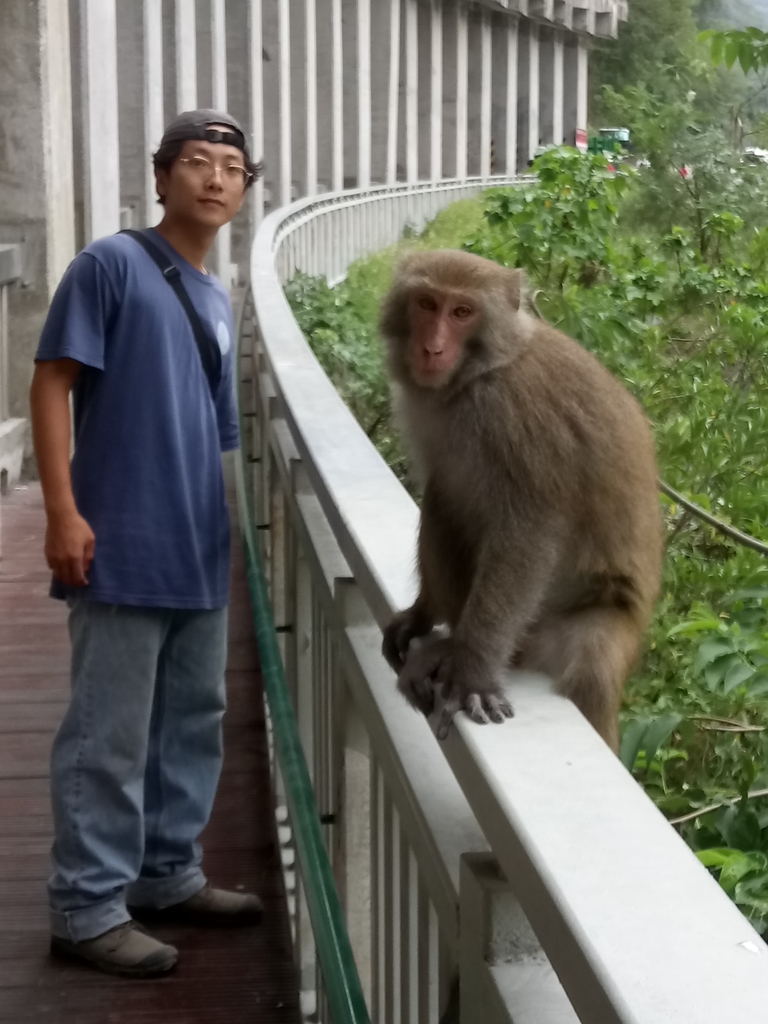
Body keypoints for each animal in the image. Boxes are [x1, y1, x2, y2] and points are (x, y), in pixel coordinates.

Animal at [378, 249, 663, 753]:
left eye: (462, 312)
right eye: (427, 303)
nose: (432, 349)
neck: (479, 375)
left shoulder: (515, 417)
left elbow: (528, 533)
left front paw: (471, 672)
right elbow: (445, 486)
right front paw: (421, 614)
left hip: (582, 629)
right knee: (444, 495)